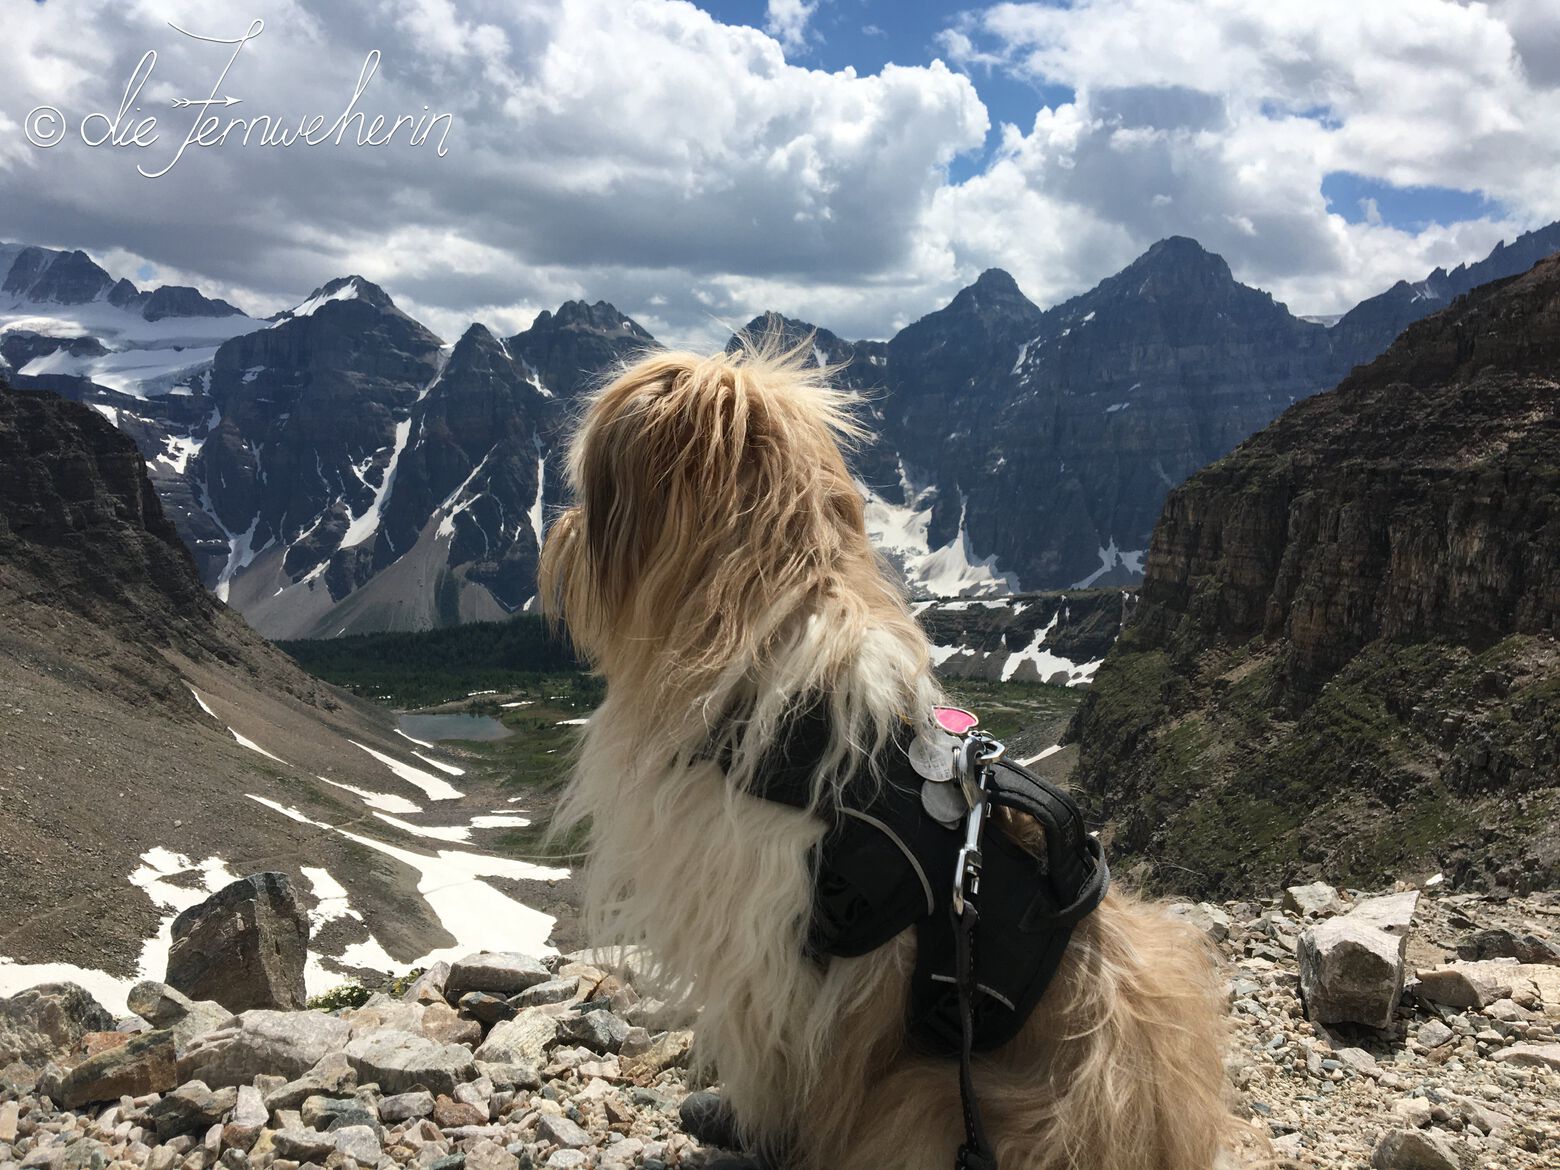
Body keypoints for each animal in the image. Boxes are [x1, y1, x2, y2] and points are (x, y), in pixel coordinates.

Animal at [539, 341, 1241, 1170]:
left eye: (588, 487)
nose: (559, 530)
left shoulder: (776, 958)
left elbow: (773, 1066)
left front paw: (750, 1125)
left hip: (927, 1099)